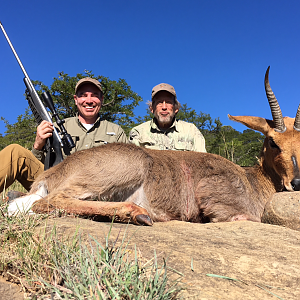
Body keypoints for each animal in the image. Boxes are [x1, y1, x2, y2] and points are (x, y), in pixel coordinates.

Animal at [7, 67, 300, 225]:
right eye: (272, 141)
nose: (295, 183)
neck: (252, 180)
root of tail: (52, 173)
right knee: (46, 202)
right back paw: (139, 214)